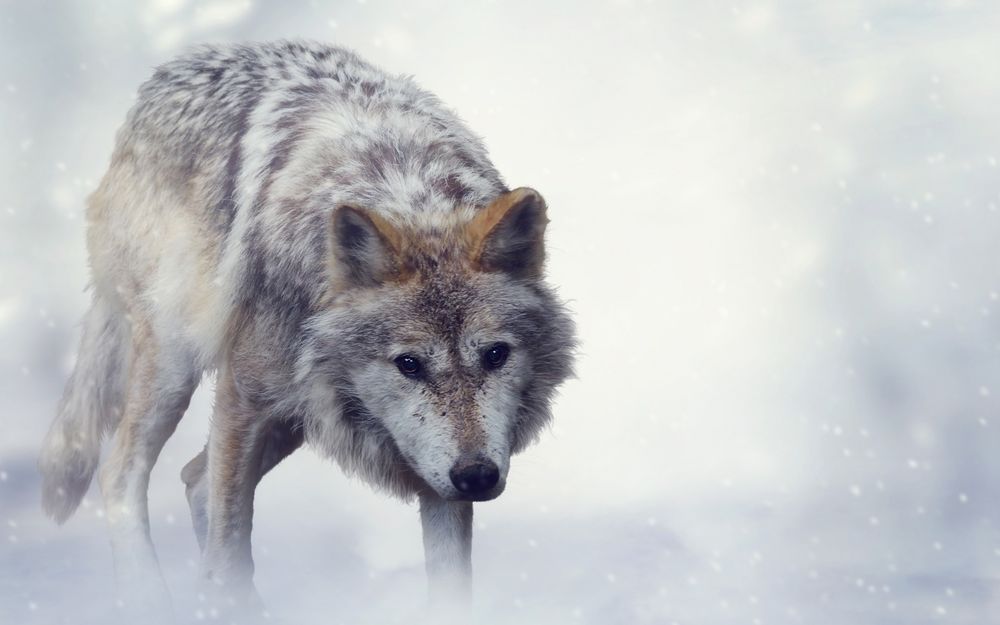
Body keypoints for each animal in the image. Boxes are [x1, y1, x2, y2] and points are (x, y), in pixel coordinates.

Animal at [37, 41, 574, 616]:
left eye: (495, 355)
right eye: (409, 364)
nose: (477, 476)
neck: (405, 196)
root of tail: (162, 79)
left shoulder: (430, 471)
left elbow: (451, 590)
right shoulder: (244, 399)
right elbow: (228, 551)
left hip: (296, 413)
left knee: (195, 479)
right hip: (177, 364)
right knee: (121, 473)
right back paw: (149, 600)